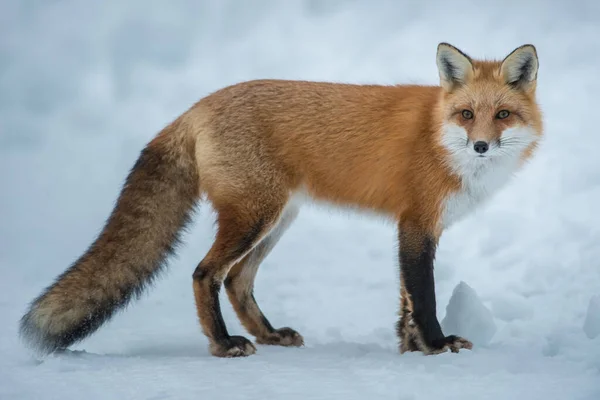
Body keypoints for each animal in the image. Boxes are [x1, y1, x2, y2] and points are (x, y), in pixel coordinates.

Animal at [19, 43, 544, 356]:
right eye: (466, 115)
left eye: (502, 115)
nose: (481, 145)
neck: (439, 138)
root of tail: (196, 107)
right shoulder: (415, 225)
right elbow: (425, 296)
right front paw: (435, 346)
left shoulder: (415, 228)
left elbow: (406, 301)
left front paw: (411, 348)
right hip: (255, 217)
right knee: (206, 274)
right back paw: (224, 344)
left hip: (276, 220)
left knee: (237, 280)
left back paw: (268, 335)